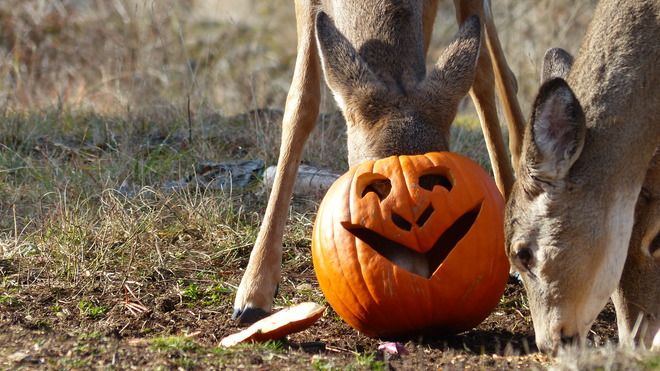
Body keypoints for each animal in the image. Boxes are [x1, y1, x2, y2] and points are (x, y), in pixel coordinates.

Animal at [229, 0, 524, 324]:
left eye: (441, 183)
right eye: (371, 189)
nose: (416, 276)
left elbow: (480, 75)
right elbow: (301, 103)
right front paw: (254, 291)